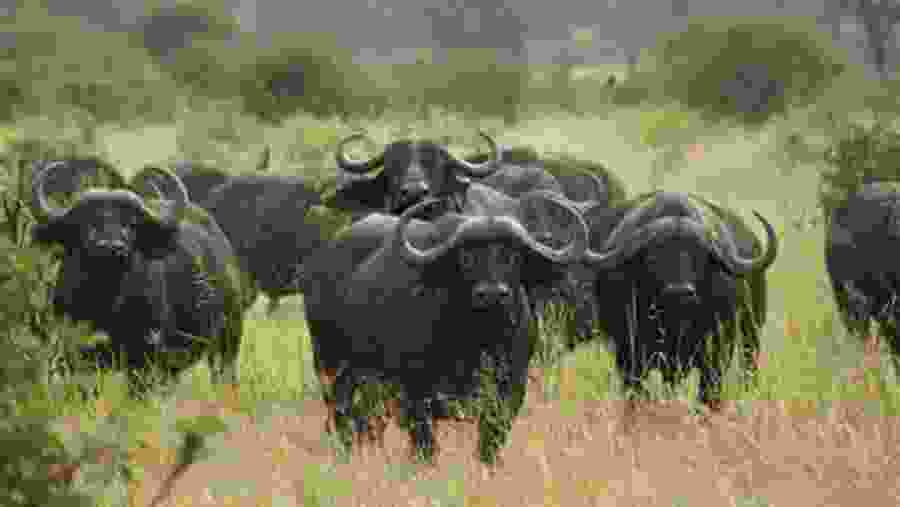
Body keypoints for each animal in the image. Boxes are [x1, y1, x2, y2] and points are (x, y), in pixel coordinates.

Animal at [30, 161, 249, 395]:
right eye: (87, 222)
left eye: (130, 224)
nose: (110, 247)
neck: (105, 301)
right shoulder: (76, 353)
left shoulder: (143, 360)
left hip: (228, 339)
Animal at [302, 190, 589, 462]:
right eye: (466, 257)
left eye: (512, 255)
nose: (492, 293)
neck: (480, 342)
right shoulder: (416, 397)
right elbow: (425, 447)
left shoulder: (510, 392)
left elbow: (489, 444)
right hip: (329, 367)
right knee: (343, 418)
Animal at [581, 191, 778, 407]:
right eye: (653, 257)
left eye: (699, 256)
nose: (679, 292)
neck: (674, 324)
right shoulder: (629, 356)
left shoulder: (717, 354)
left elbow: (708, 394)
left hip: (752, 329)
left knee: (749, 365)